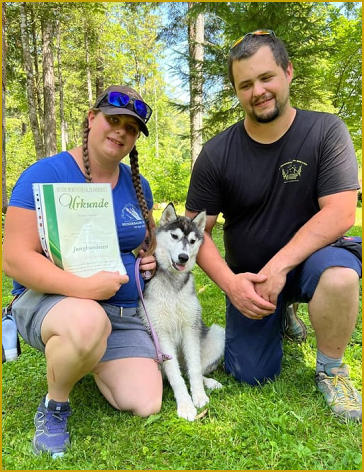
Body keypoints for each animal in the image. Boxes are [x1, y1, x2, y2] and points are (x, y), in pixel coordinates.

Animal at [139, 203, 226, 420]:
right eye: (174, 236)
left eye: (193, 241)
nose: (183, 257)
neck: (173, 284)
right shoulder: (161, 334)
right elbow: (175, 376)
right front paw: (185, 405)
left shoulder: (190, 328)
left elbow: (194, 369)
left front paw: (199, 395)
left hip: (217, 335)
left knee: (191, 369)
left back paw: (209, 382)